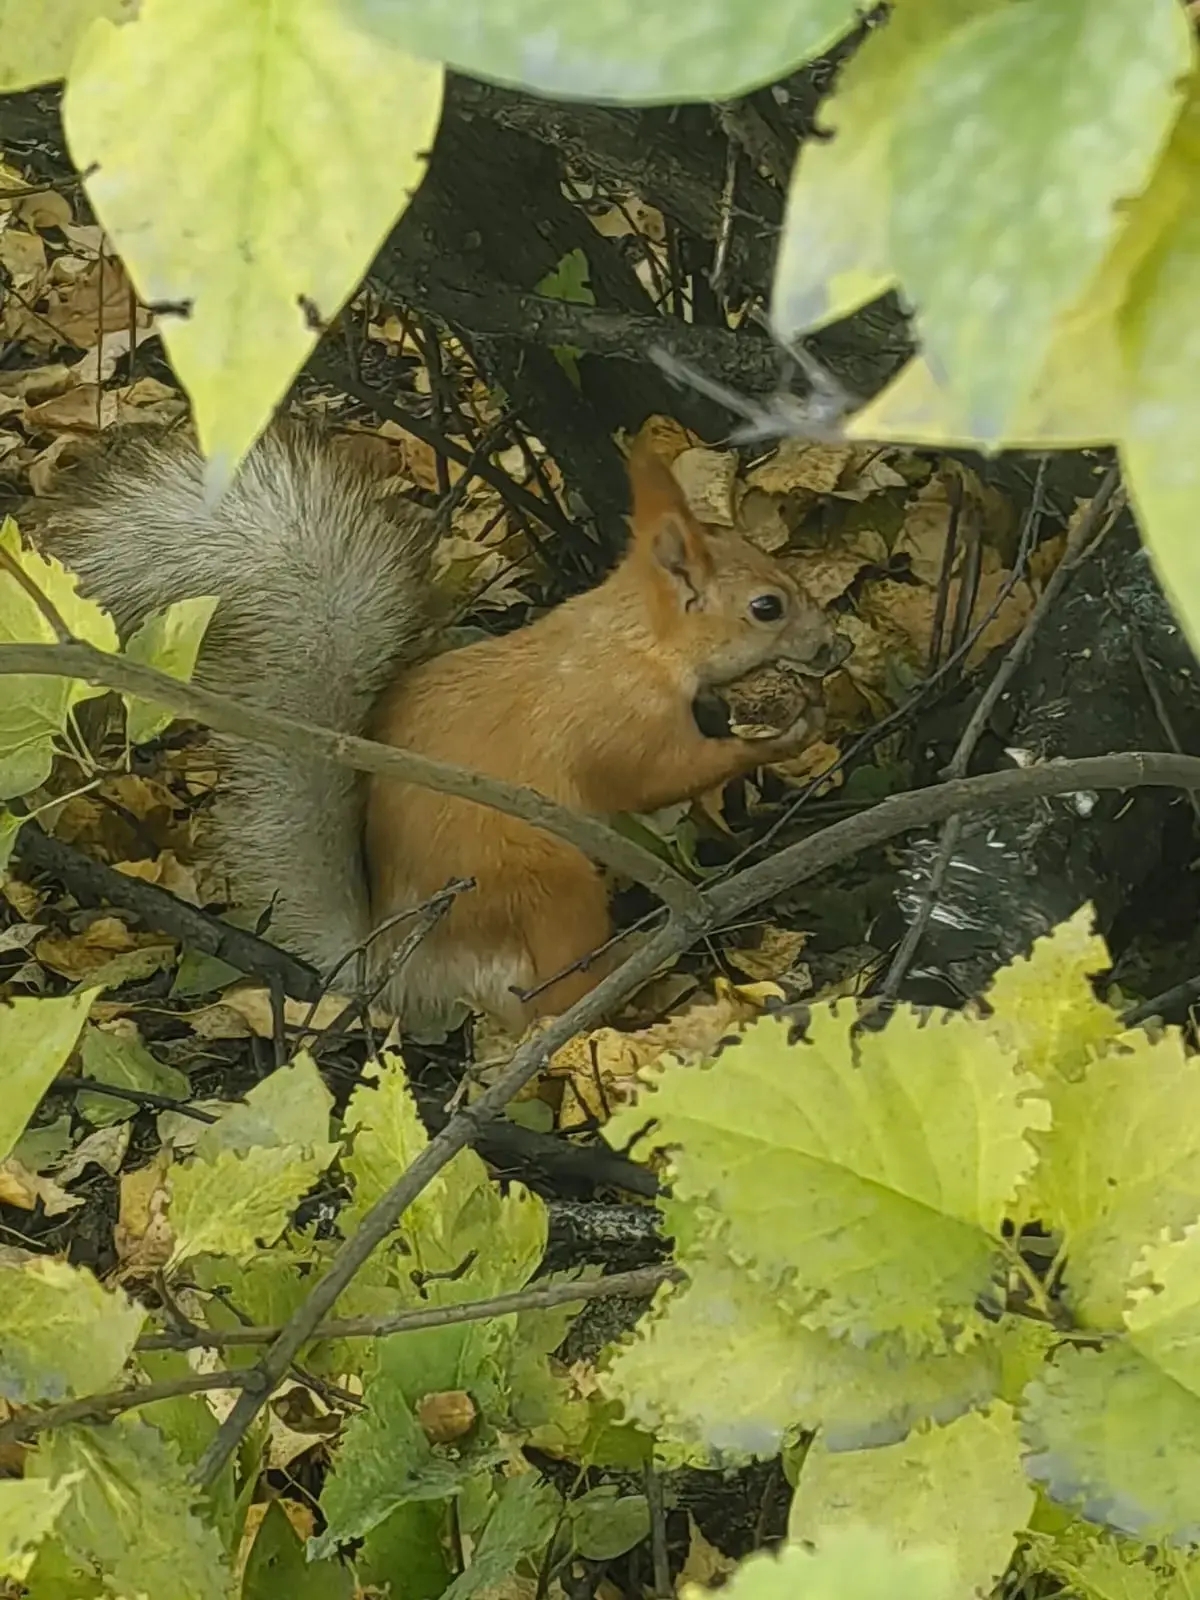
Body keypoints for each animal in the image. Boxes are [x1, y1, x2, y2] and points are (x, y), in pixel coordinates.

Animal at [28, 421, 845, 1034]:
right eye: (767, 607)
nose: (831, 645)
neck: (636, 642)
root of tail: (400, 969)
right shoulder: (614, 720)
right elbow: (654, 777)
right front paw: (781, 735)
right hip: (542, 888)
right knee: (548, 1005)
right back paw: (634, 979)